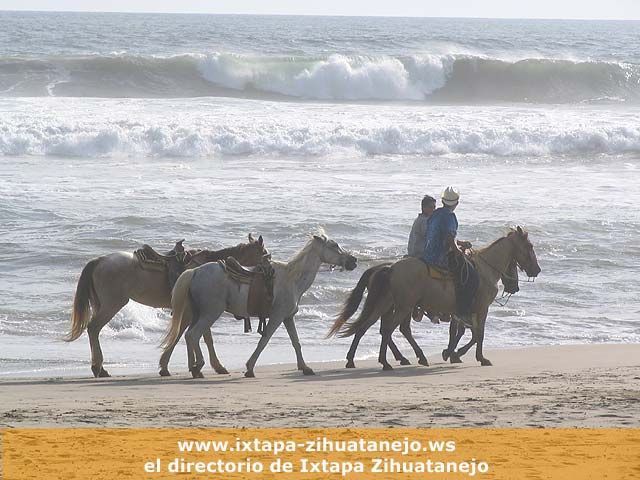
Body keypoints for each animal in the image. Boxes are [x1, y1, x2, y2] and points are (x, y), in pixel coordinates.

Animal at [68, 234, 270, 376]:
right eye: (264, 253)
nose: (267, 269)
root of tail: (99, 260)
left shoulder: (193, 311)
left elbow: (196, 336)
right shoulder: (192, 311)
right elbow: (189, 334)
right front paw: (211, 366)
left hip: (101, 304)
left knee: (94, 331)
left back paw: (99, 368)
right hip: (113, 304)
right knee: (94, 328)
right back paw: (98, 368)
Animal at [160, 231, 358, 376]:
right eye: (334, 245)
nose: (353, 261)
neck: (292, 279)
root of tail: (194, 271)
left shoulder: (288, 318)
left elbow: (296, 342)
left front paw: (305, 367)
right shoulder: (277, 317)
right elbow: (264, 340)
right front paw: (249, 368)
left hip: (198, 313)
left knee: (188, 335)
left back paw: (195, 368)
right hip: (210, 313)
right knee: (193, 335)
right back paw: (198, 367)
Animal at [338, 227, 536, 370]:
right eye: (529, 247)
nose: (537, 269)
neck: (484, 270)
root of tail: (391, 268)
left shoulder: (462, 312)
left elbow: (465, 333)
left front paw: (453, 353)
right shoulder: (480, 308)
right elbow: (477, 333)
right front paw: (474, 357)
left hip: (386, 304)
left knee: (367, 327)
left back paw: (354, 360)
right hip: (403, 307)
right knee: (389, 330)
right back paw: (389, 362)